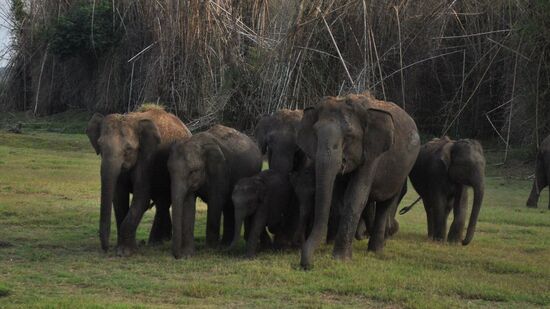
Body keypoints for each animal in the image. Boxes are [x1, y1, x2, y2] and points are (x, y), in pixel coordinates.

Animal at [85, 106, 191, 255]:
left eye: (128, 149)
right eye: (100, 145)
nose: (106, 249)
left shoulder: (147, 157)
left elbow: (141, 196)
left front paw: (124, 252)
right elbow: (119, 197)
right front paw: (124, 248)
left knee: (163, 201)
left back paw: (156, 242)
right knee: (161, 201)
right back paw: (159, 240)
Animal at [168, 124, 264, 258]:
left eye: (193, 171)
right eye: (169, 171)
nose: (178, 255)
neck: (197, 142)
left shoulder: (220, 170)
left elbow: (216, 201)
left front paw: (210, 250)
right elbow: (188, 203)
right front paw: (188, 255)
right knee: (229, 207)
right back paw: (225, 244)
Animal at [298, 92, 422, 268]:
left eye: (349, 136)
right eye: (315, 133)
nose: (308, 266)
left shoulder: (373, 153)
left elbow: (356, 195)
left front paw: (341, 259)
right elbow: (338, 196)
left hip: (403, 170)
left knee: (386, 203)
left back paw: (376, 250)